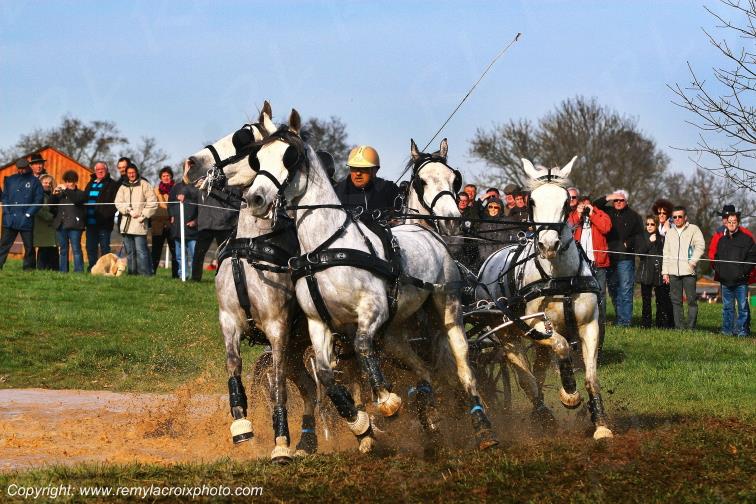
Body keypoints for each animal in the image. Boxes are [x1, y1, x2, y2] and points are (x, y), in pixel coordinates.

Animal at [184, 102, 320, 463]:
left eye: (244, 140)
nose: (190, 163)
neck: (251, 245)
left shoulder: (278, 326)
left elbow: (277, 387)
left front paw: (281, 442)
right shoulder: (230, 320)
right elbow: (234, 369)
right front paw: (241, 426)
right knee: (312, 388)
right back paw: (310, 438)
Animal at [243, 107, 499, 453]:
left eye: (289, 157)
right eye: (258, 158)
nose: (255, 198)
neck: (326, 248)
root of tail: (429, 234)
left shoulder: (372, 311)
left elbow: (363, 345)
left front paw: (386, 402)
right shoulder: (318, 323)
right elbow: (326, 375)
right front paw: (361, 425)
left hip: (447, 311)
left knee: (462, 365)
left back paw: (482, 426)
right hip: (395, 333)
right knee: (423, 370)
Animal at [476, 157, 613, 440]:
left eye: (567, 201)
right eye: (532, 201)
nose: (548, 245)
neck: (561, 278)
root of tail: (488, 262)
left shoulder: (590, 325)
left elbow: (592, 377)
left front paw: (600, 422)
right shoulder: (534, 324)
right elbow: (561, 346)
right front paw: (569, 392)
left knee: (537, 372)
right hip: (506, 334)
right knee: (527, 379)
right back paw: (543, 416)